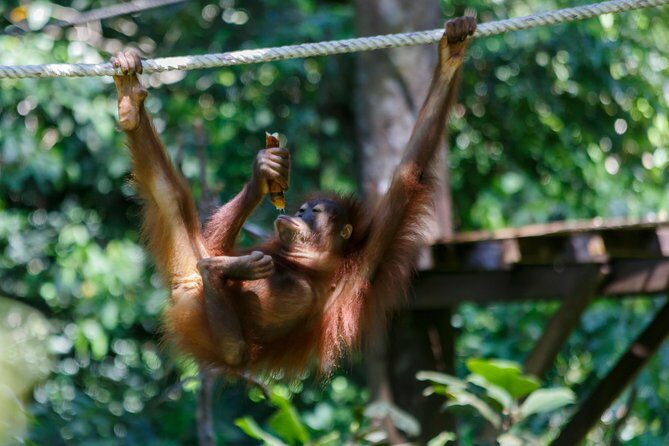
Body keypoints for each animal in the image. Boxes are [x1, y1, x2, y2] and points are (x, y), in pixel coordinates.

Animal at [111, 16, 476, 378]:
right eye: (301, 208)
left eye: (314, 211)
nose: (298, 214)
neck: (315, 262)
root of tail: (187, 289)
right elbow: (214, 242)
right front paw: (264, 172)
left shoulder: (367, 262)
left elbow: (408, 174)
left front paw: (452, 54)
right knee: (172, 198)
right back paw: (130, 103)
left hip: (204, 308)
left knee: (234, 348)